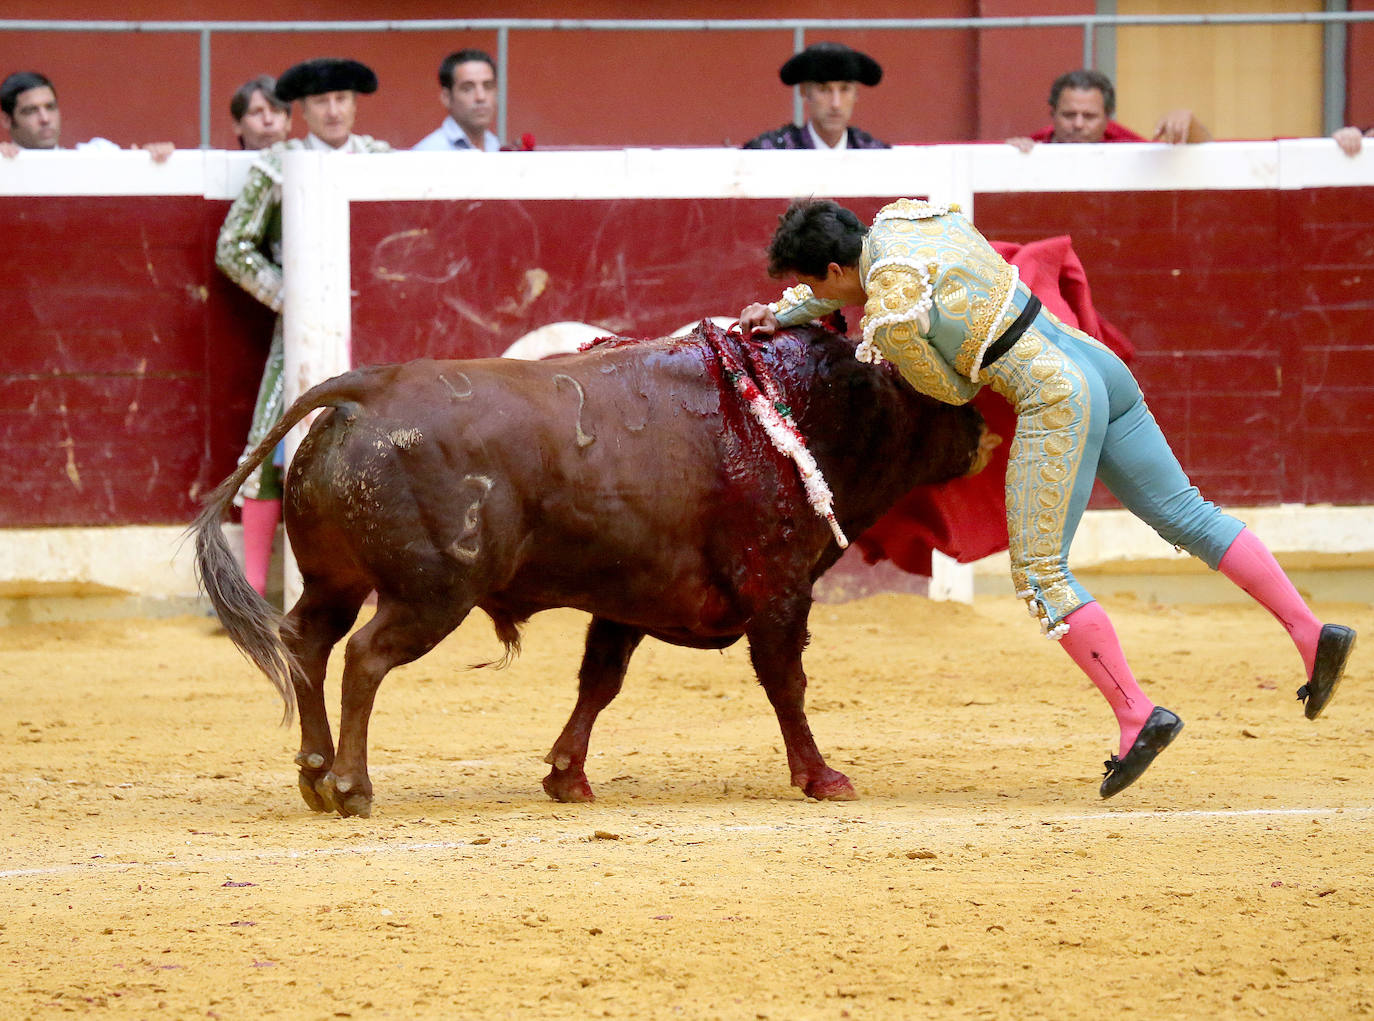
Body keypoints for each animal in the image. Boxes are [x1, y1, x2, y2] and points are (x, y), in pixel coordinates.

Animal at [196, 322, 989, 818]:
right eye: (928, 386)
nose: (983, 430)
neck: (791, 408)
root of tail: (366, 391)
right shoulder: (780, 591)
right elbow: (785, 685)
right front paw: (821, 777)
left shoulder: (628, 599)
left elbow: (599, 682)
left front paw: (566, 777)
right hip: (430, 594)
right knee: (364, 656)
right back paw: (352, 787)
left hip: (336, 581)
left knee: (307, 641)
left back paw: (313, 772)